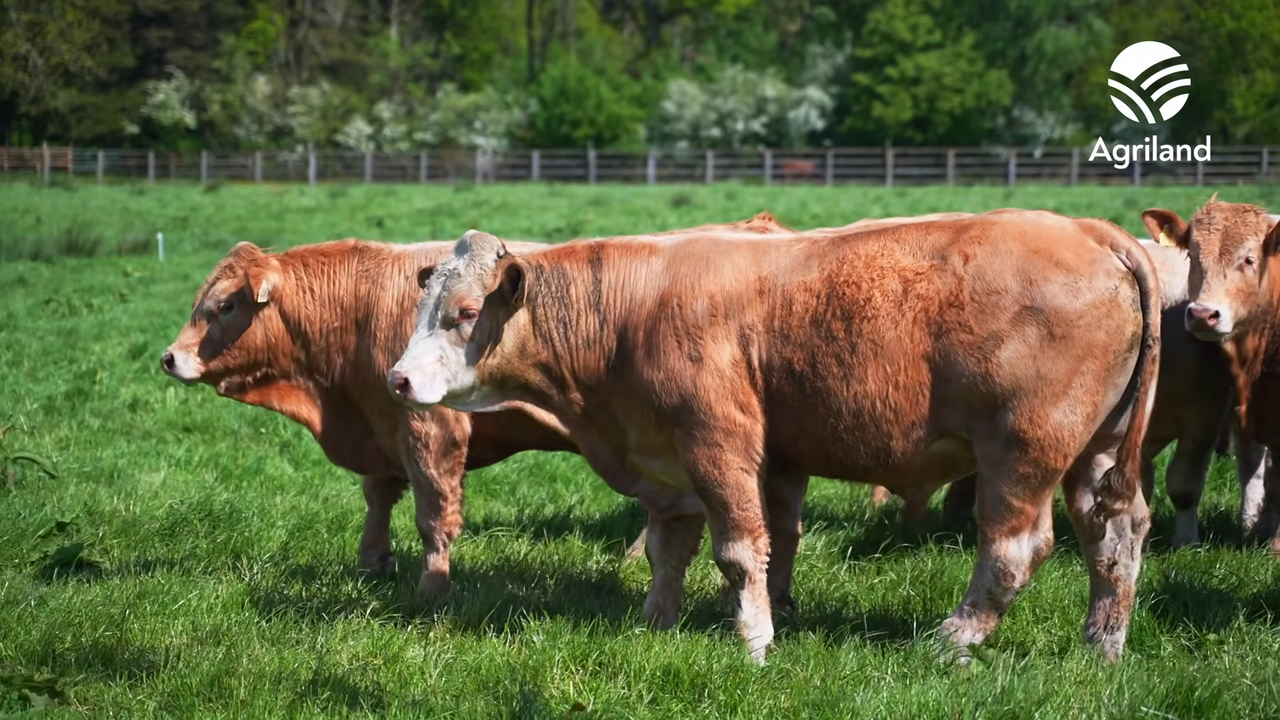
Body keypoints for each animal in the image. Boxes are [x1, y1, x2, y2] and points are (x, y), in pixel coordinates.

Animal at [160, 213, 792, 601]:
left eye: (225, 305)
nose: (169, 358)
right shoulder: (380, 425)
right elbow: (378, 498)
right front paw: (372, 561)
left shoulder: (429, 429)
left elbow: (433, 514)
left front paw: (432, 589)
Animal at [387, 209, 1161, 664]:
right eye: (424, 307)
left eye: (463, 313)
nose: (396, 379)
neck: (630, 312)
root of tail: (1094, 231)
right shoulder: (677, 460)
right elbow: (680, 547)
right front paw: (658, 621)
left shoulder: (717, 443)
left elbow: (738, 550)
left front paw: (755, 639)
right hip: (1095, 452)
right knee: (1114, 537)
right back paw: (1103, 643)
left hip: (1023, 452)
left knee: (1014, 549)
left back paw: (954, 637)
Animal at [1141, 198, 1280, 553]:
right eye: (1192, 255)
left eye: (1249, 259)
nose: (1203, 314)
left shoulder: (1202, 420)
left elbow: (1184, 483)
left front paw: (1186, 542)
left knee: (1253, 464)